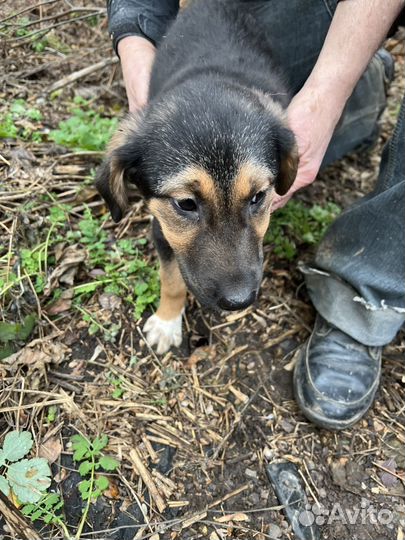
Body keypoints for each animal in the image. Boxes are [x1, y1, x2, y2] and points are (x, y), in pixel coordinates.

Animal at [94, 0, 296, 354]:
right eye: (186, 204)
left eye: (258, 197)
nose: (239, 301)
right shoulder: (162, 230)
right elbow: (173, 281)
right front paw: (167, 323)